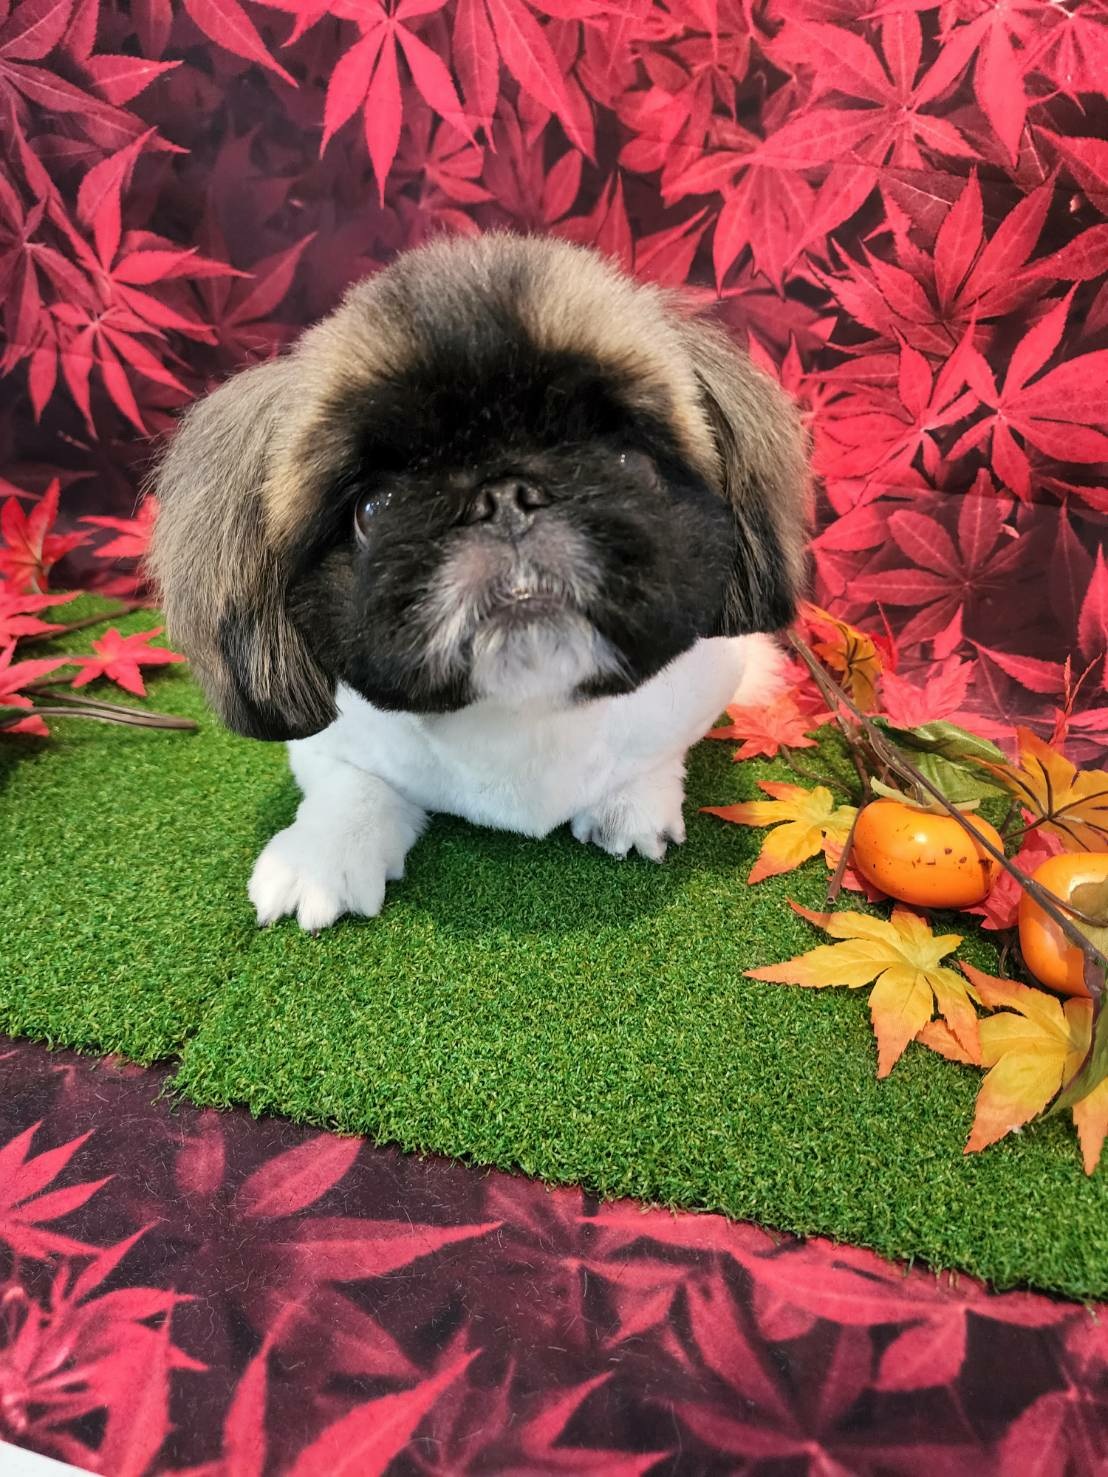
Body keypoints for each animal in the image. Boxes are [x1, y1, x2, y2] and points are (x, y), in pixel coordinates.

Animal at [148, 234, 810, 930]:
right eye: (374, 508)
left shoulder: (702, 683)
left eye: (629, 463)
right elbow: (351, 783)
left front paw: (629, 806)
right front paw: (325, 857)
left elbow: (657, 752)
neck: (521, 711)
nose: (505, 497)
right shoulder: (329, 740)